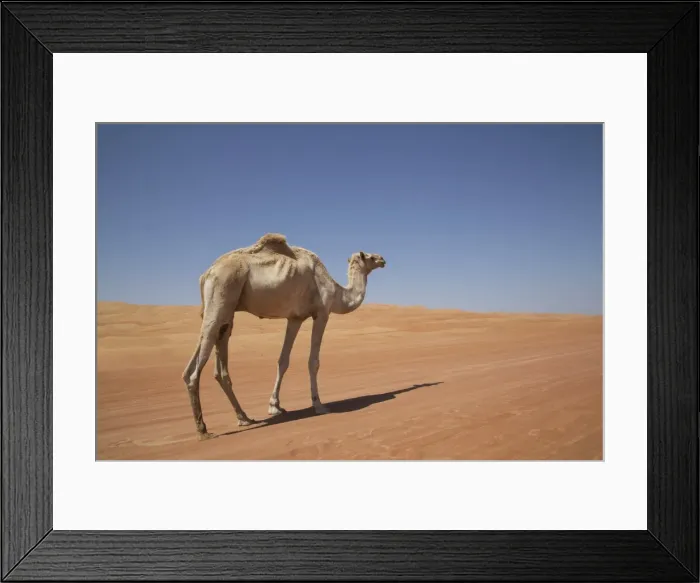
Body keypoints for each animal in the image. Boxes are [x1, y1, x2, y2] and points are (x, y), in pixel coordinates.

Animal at [181, 233, 386, 440]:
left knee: (218, 364)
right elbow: (313, 362)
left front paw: (275, 406)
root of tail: (207, 273)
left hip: (226, 313)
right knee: (194, 369)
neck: (337, 292)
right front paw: (318, 404)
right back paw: (203, 429)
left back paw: (244, 417)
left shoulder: (295, 318)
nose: (382, 259)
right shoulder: (322, 313)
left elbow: (283, 360)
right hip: (220, 294)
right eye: (369, 256)